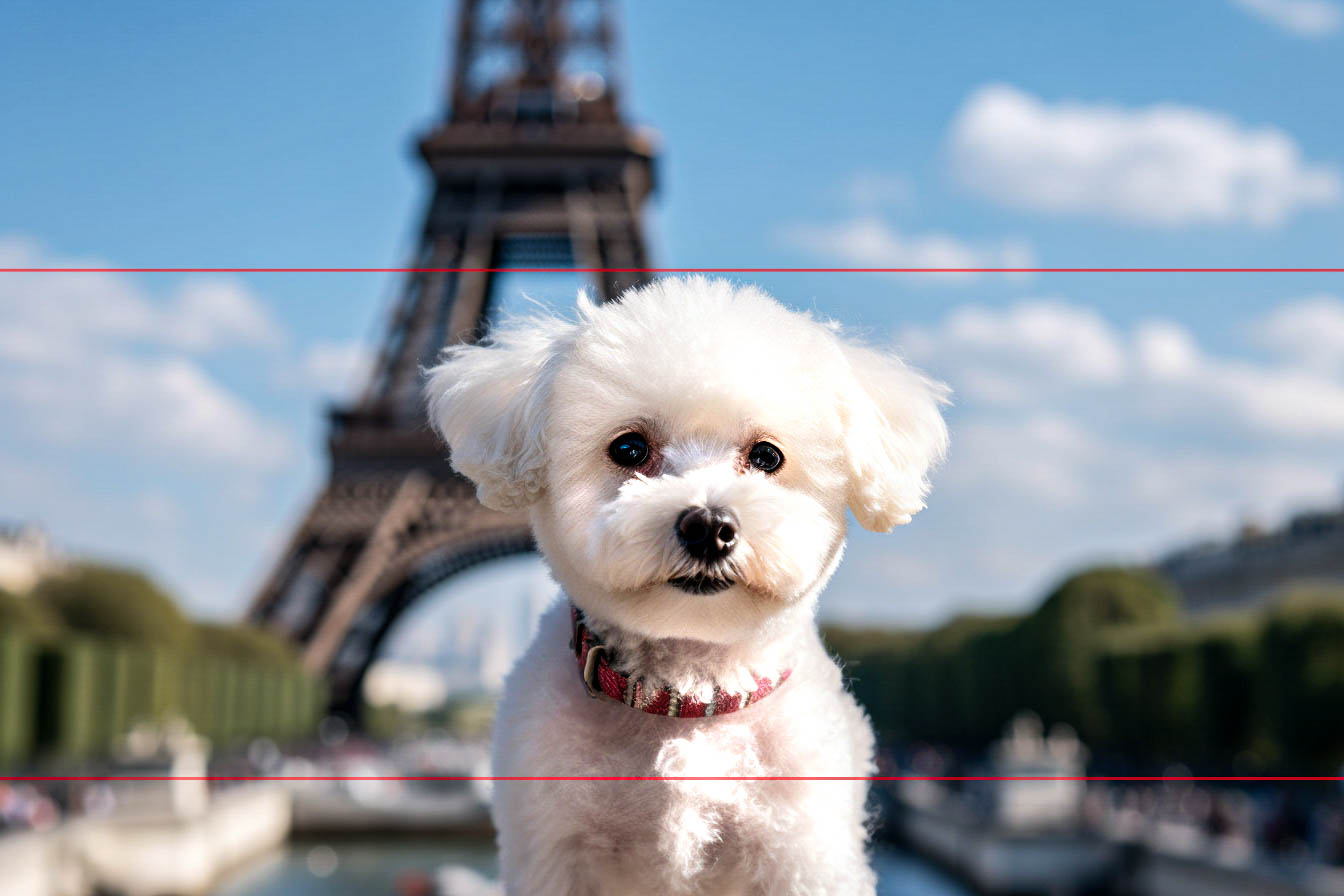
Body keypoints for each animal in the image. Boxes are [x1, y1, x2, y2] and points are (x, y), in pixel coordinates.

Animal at [424, 276, 951, 891]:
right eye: (629, 448)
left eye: (766, 456)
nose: (708, 527)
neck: (689, 700)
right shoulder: (553, 851)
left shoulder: (804, 853)